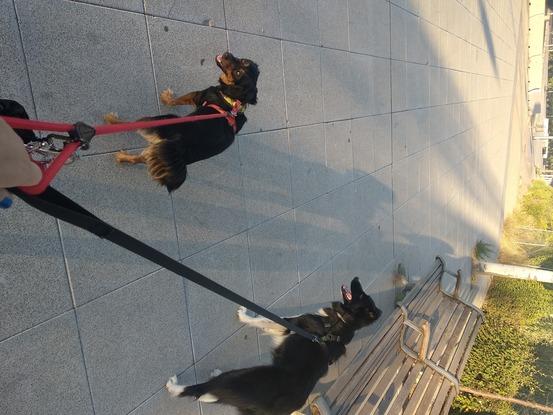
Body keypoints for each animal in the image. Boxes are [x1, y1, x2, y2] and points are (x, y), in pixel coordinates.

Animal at [104, 52, 260, 193]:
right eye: (244, 61)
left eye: (238, 72)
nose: (227, 54)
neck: (234, 99)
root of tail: (178, 145)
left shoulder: (196, 95)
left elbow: (176, 101)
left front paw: (166, 98)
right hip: (159, 153)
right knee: (137, 159)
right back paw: (122, 157)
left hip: (157, 122)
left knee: (131, 125)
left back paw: (112, 121)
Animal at [164, 280, 380, 415]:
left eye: (360, 293)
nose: (356, 278)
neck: (341, 322)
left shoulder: (290, 323)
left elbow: (262, 319)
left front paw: (244, 315)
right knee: (211, 393)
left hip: (239, 377)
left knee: (199, 389)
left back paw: (174, 385)